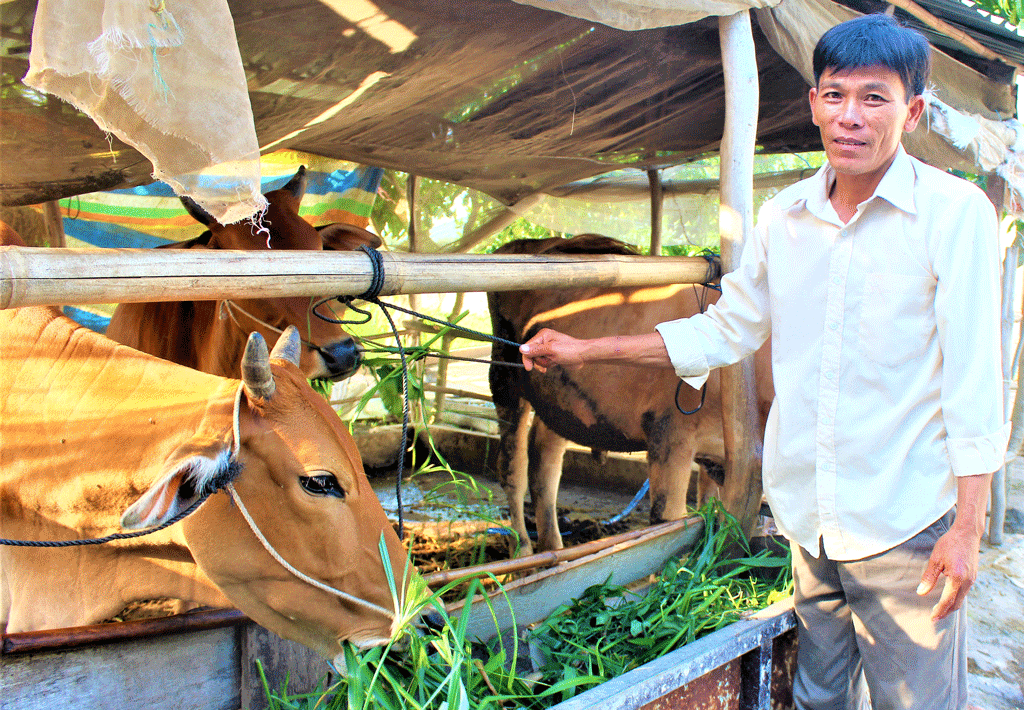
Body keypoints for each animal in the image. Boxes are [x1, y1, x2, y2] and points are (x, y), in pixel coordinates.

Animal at [487, 235, 770, 557]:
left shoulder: (716, 455)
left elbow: (709, 511)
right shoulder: (670, 435)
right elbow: (668, 522)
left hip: (559, 398)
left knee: (543, 460)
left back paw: (554, 550)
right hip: (505, 377)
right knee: (512, 468)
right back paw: (522, 550)